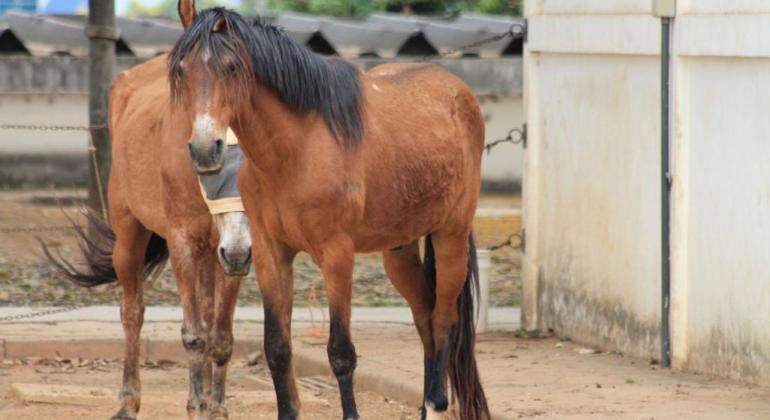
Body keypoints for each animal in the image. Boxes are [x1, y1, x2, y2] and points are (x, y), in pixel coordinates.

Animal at [44, 54, 249, 418]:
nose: (238, 254)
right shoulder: (183, 244)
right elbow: (194, 335)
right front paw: (197, 406)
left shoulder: (229, 253)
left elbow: (220, 336)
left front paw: (216, 408)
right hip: (129, 236)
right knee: (132, 312)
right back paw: (127, 402)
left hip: (212, 254)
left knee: (206, 314)